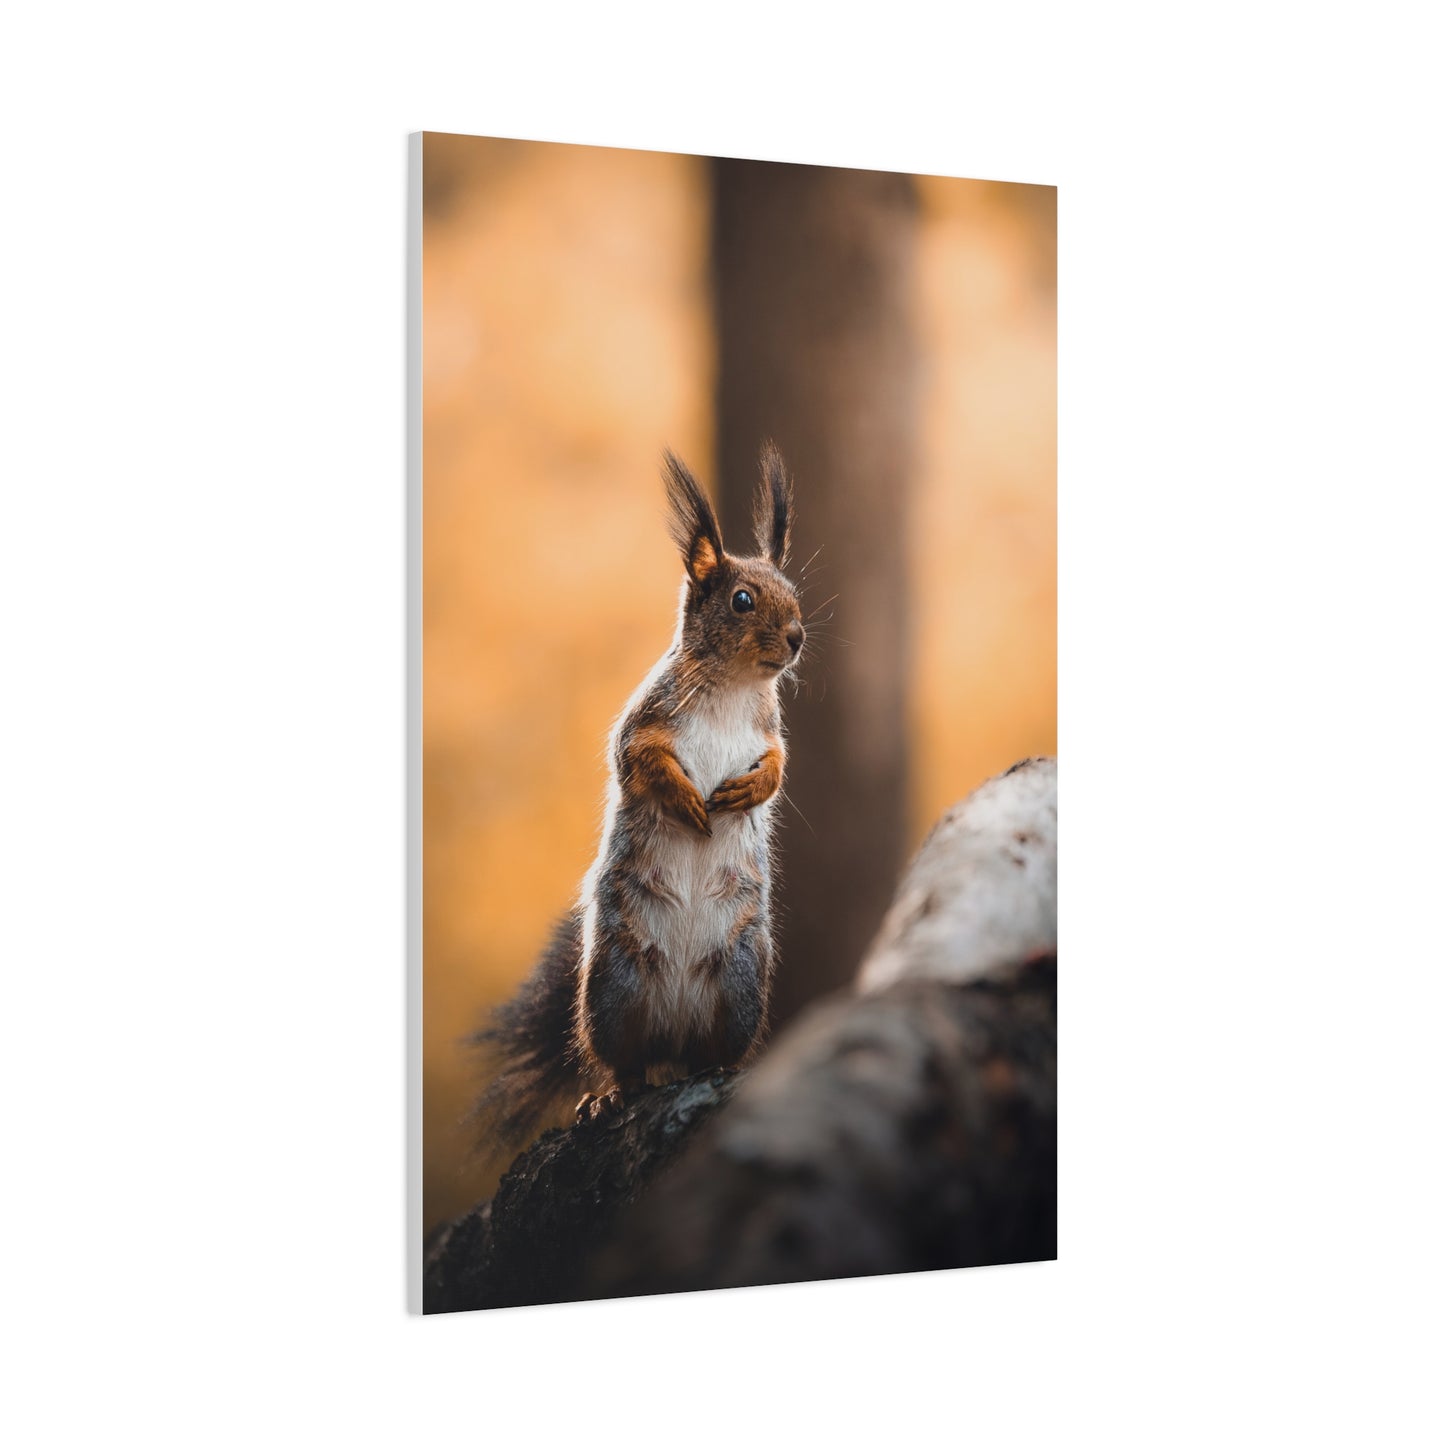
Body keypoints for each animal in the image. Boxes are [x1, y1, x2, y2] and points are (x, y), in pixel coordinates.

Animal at [471, 442, 805, 1152]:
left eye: (795, 595)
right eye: (741, 599)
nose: (796, 637)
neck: (735, 686)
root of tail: (673, 1032)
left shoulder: (770, 732)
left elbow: (778, 769)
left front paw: (748, 789)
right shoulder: (644, 721)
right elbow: (639, 761)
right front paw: (686, 800)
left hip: (740, 983)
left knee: (710, 1054)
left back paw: (717, 1069)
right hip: (613, 988)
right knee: (626, 1063)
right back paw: (608, 1096)